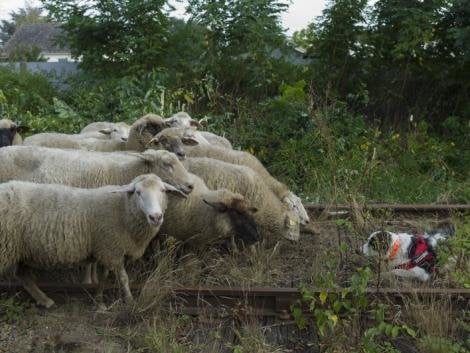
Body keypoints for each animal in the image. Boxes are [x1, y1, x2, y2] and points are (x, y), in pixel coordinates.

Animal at [0, 175, 186, 306]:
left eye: (163, 191)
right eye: (138, 192)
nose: (156, 217)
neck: (122, 210)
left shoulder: (107, 249)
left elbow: (104, 277)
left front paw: (99, 300)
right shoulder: (112, 249)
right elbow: (123, 278)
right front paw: (130, 301)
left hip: (21, 250)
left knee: (23, 276)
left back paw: (44, 300)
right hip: (5, 247)